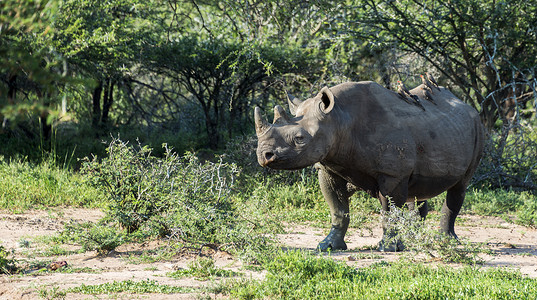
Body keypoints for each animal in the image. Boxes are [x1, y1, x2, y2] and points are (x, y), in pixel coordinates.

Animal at [253, 80, 484, 251]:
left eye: (300, 139)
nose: (264, 155)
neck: (339, 118)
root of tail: (466, 104)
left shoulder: (392, 174)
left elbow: (389, 211)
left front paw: (387, 248)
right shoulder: (328, 167)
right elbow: (338, 210)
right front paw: (328, 246)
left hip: (477, 128)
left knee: (459, 187)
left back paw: (446, 241)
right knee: (418, 192)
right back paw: (414, 238)